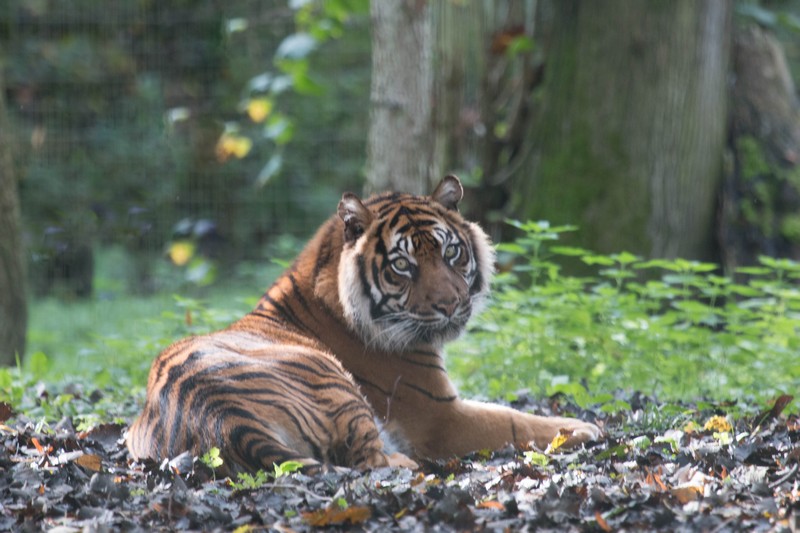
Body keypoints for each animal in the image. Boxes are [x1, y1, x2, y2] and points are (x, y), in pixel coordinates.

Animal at [126, 176, 600, 474]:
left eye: (451, 253)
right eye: (403, 265)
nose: (451, 305)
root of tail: (226, 418)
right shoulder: (439, 414)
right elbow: (515, 420)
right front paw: (584, 428)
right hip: (335, 383)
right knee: (370, 462)